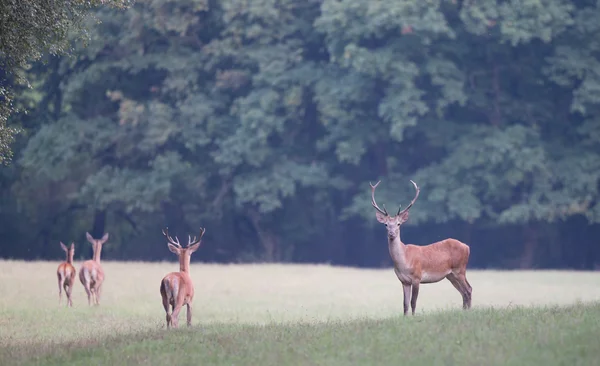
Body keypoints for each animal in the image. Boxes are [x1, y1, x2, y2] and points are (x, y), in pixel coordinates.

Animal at [370, 180, 474, 314]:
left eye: (398, 224)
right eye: (386, 224)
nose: (391, 234)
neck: (404, 261)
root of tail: (467, 247)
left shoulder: (417, 277)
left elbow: (413, 302)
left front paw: (414, 316)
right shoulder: (404, 281)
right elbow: (405, 304)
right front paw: (406, 316)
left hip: (459, 269)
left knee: (468, 289)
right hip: (450, 275)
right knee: (463, 292)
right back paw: (464, 310)